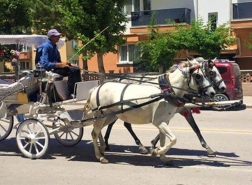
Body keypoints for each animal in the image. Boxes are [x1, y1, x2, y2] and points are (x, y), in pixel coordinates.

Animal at [85, 60, 216, 164]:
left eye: (208, 74)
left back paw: (102, 148)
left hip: (109, 116)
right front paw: (156, 151)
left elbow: (164, 140)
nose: (212, 93)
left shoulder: (164, 121)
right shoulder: (159, 121)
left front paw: (163, 157)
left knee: (98, 131)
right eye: (198, 76)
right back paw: (100, 156)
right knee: (94, 133)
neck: (167, 91)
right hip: (101, 116)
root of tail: (96, 88)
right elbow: (173, 139)